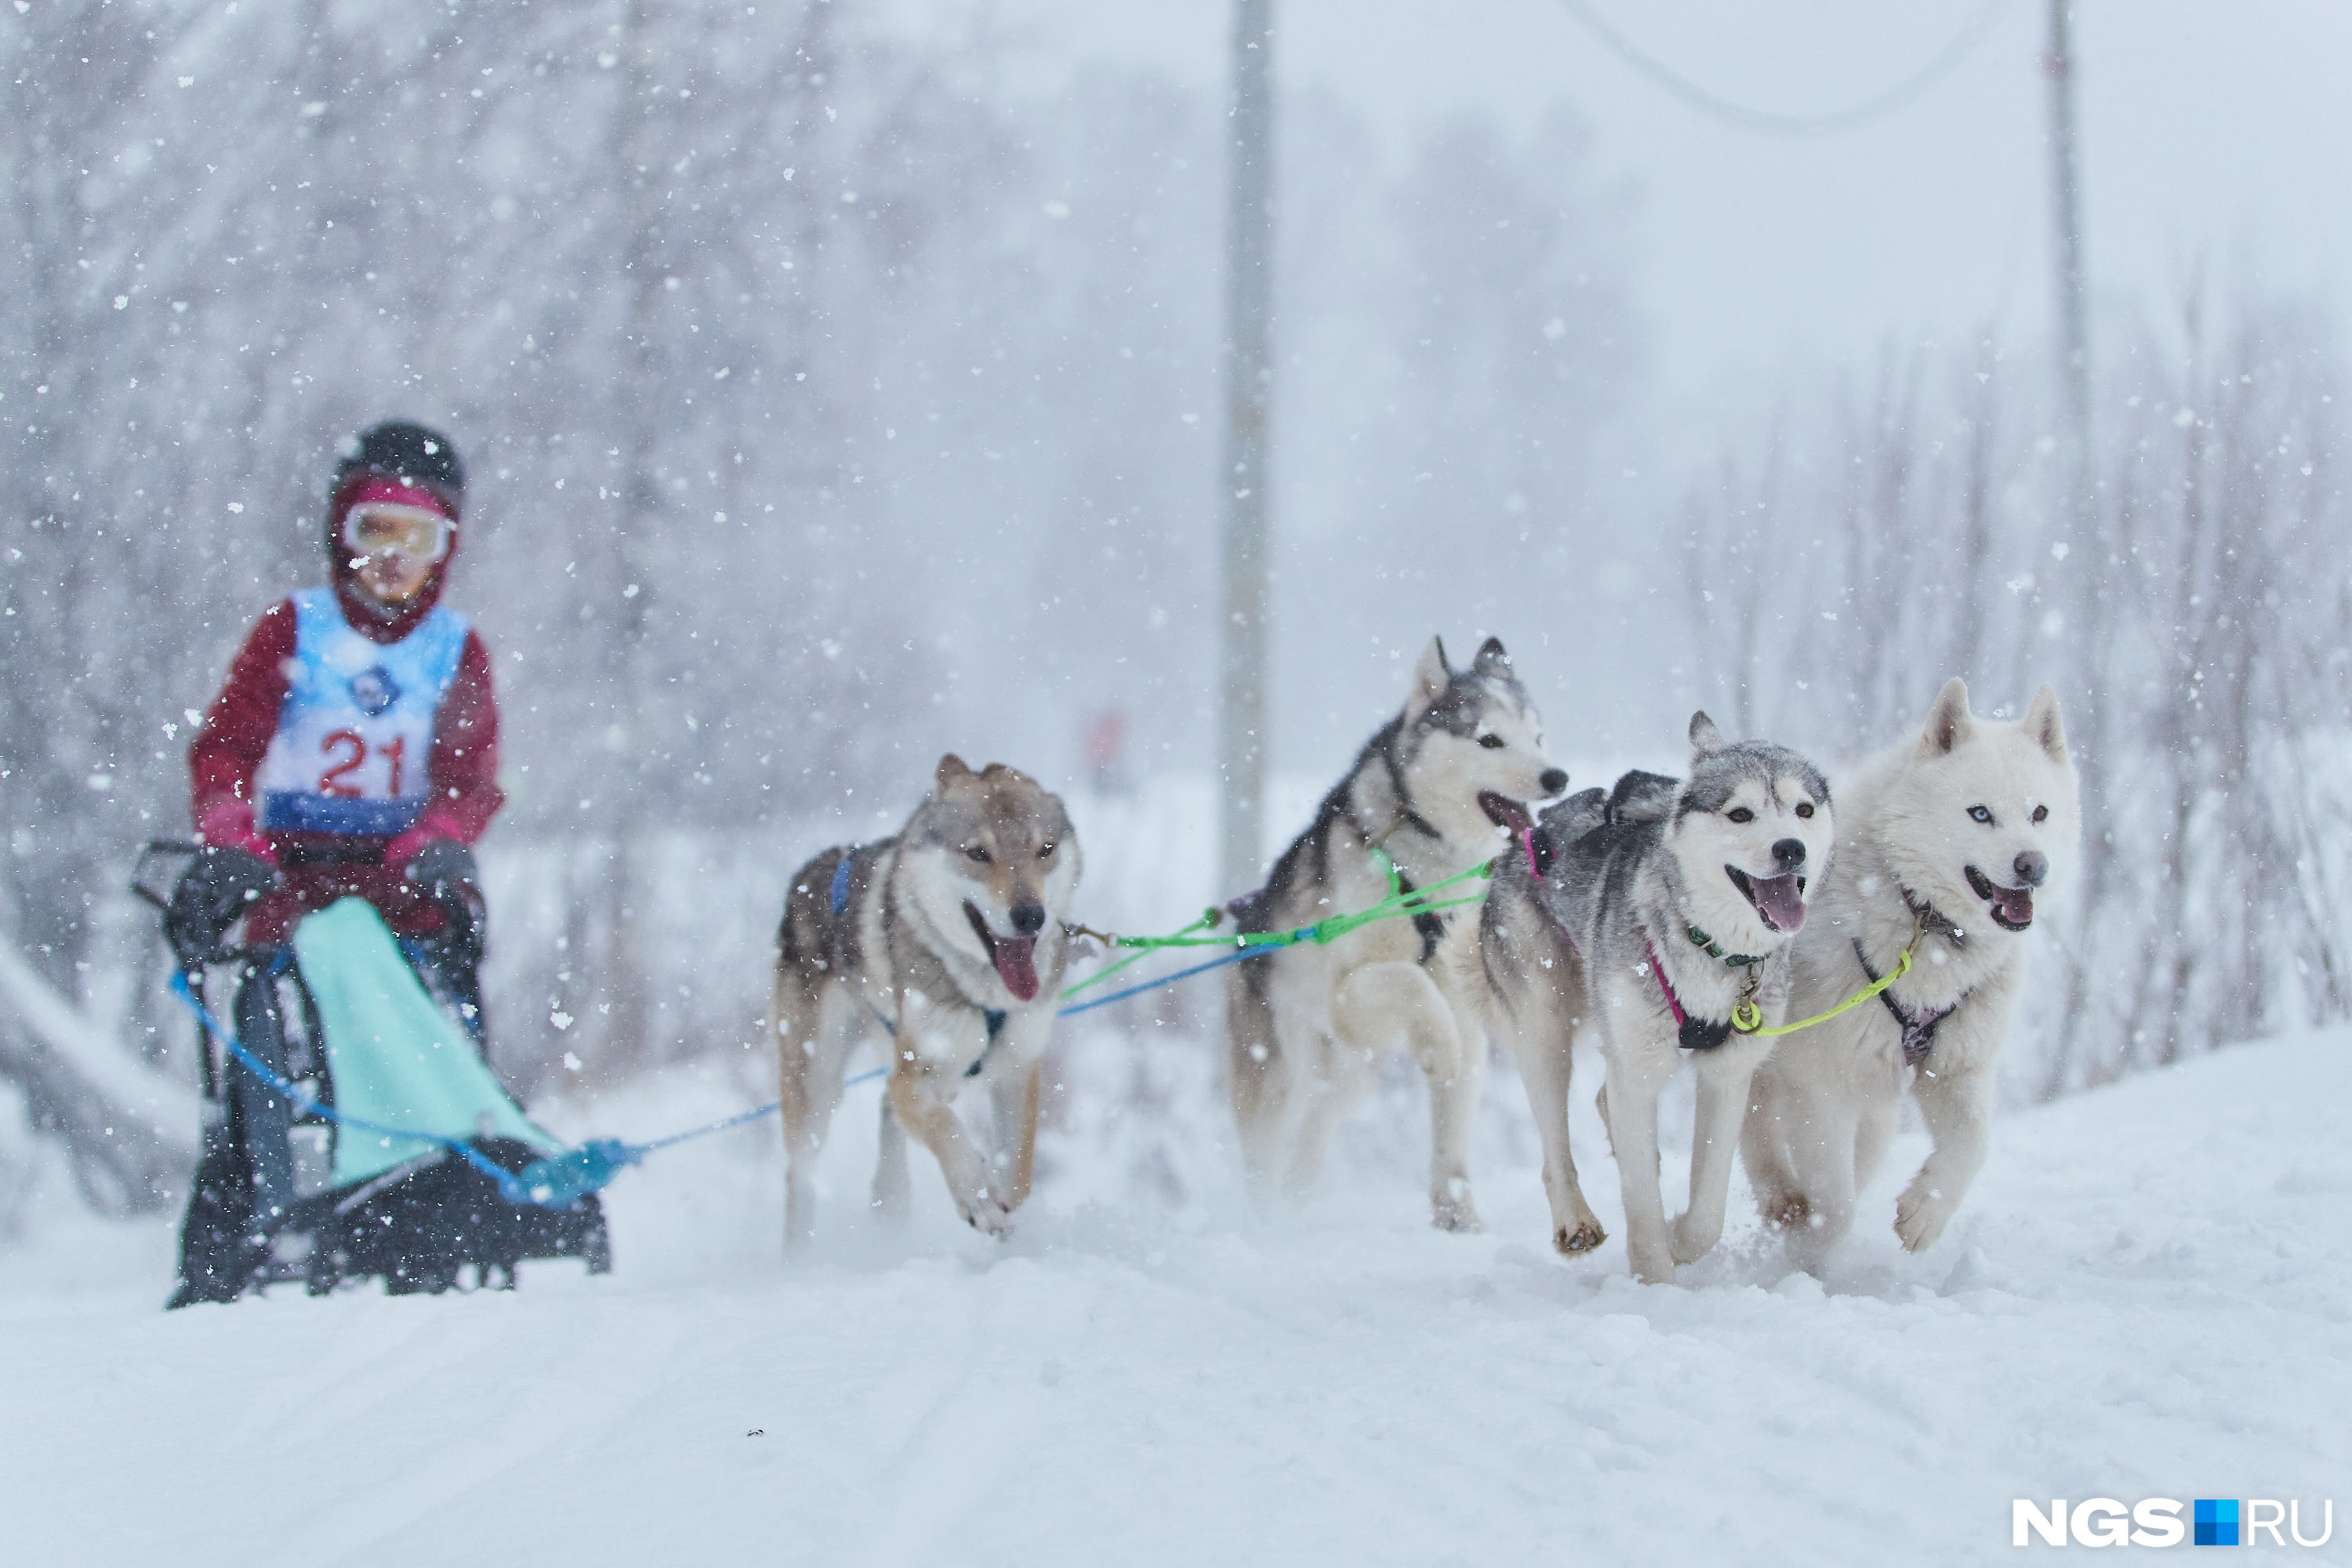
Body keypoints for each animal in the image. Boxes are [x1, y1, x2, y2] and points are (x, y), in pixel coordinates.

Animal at [771, 752, 1082, 1241]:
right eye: (978, 853)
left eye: (1044, 850)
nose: (1031, 916)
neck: (984, 996)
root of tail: (806, 875)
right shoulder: (917, 1072)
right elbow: (944, 1128)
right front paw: (977, 1195)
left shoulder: (1017, 1071)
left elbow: (1018, 1174)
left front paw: (1017, 1239)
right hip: (818, 1088)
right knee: (801, 1175)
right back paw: (799, 1254)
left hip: (943, 1076)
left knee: (886, 1104)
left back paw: (891, 1201)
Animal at [1232, 634, 1562, 1222]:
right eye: (1490, 739)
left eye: (1539, 737)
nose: (1557, 777)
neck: (1430, 870)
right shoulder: (1347, 994)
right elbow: (1413, 988)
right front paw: (1438, 1047)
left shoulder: (1460, 998)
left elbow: (1455, 1117)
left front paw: (1457, 1214)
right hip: (1283, 1072)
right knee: (1268, 1144)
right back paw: (1265, 1217)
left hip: (1353, 1075)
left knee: (1320, 1119)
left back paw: (1300, 1192)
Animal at [1449, 719, 1835, 1279]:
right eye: (1740, 813)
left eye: (1804, 810)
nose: (1791, 849)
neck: (1711, 947)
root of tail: (1524, 839)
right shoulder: (1638, 1067)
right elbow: (1643, 1206)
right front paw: (1656, 1281)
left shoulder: (1727, 1074)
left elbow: (1707, 1210)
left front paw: (1679, 1239)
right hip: (1546, 1031)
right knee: (1557, 1144)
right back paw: (1575, 1220)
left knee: (1608, 1106)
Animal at [1750, 681, 2079, 1269]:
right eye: (1980, 814)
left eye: (2040, 812)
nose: (2032, 865)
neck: (1927, 922)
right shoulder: (1819, 1086)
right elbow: (1835, 1208)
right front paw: (1804, 1248)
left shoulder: (1957, 1067)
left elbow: (1972, 1143)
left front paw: (1924, 1214)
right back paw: (1779, 1202)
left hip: (1876, 1106)